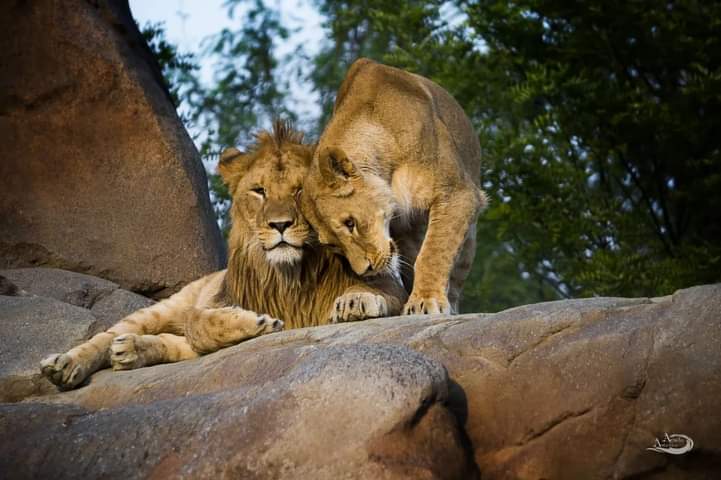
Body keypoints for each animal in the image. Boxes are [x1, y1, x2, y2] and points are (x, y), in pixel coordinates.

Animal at [40, 122, 404, 388]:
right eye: (259, 191)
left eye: (300, 190)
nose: (280, 224)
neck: (290, 275)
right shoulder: (213, 302)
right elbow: (199, 321)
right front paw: (255, 322)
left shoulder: (393, 286)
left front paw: (354, 301)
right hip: (161, 308)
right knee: (108, 336)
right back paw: (65, 365)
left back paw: (129, 350)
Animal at [298, 58, 484, 316]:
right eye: (333, 245)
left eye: (350, 223)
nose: (365, 271)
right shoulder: (404, 228)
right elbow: (415, 260)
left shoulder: (457, 193)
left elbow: (433, 253)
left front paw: (425, 300)